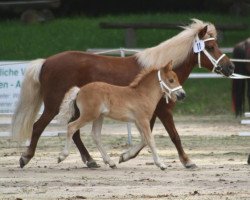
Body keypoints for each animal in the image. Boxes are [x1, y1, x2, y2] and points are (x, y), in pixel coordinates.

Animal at [57, 61, 185, 170]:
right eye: (171, 80)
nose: (183, 95)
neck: (143, 95)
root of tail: (79, 90)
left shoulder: (138, 122)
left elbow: (144, 140)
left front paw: (124, 157)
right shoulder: (142, 120)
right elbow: (150, 140)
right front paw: (161, 164)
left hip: (98, 117)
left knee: (96, 135)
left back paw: (111, 162)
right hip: (89, 115)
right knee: (71, 127)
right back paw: (62, 156)